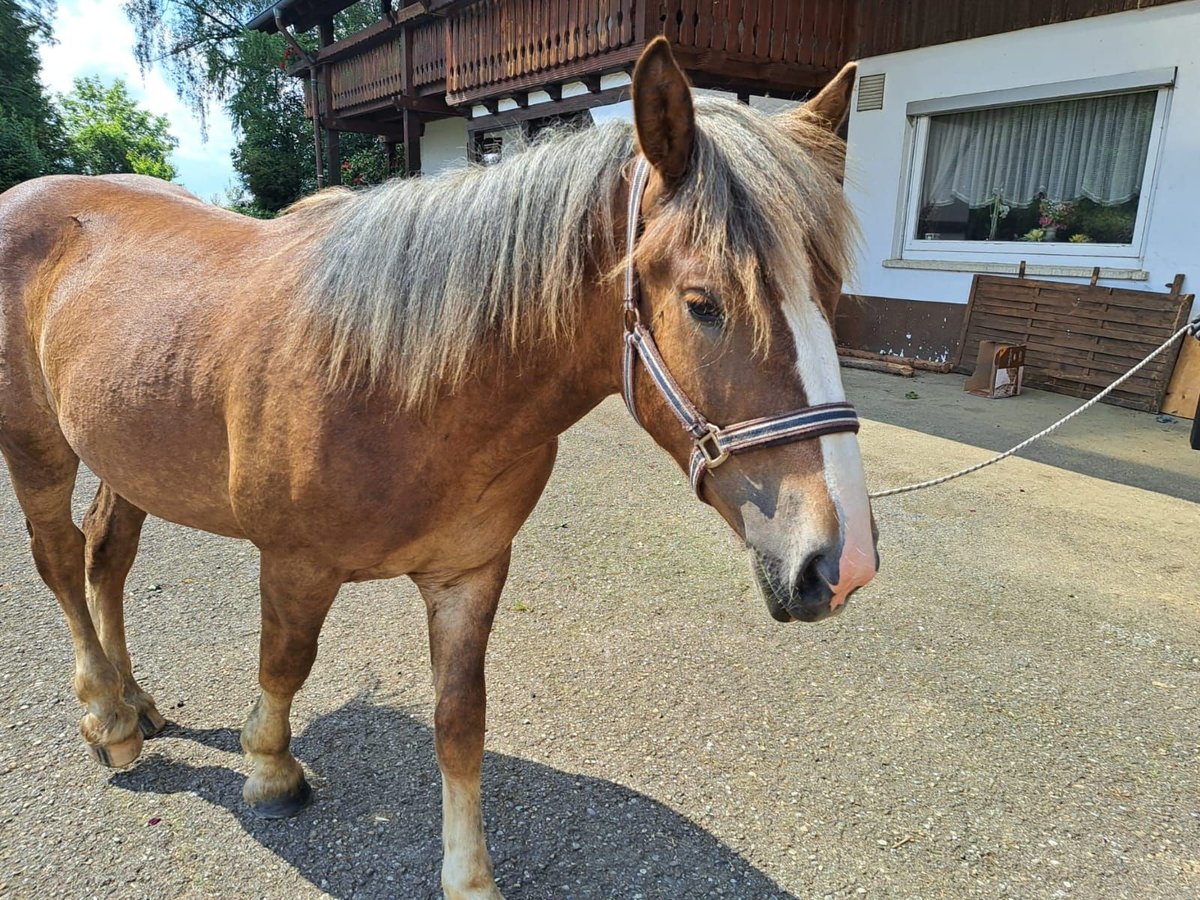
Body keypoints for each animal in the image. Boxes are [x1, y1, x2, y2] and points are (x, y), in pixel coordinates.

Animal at [2, 44, 883, 900]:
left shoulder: (470, 573)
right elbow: (284, 665)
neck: (394, 372)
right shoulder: (294, 564)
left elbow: (461, 724)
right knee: (59, 560)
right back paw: (109, 719)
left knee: (107, 556)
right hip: (39, 448)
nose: (839, 564)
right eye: (704, 303)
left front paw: (469, 876)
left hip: (125, 456)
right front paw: (271, 768)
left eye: (831, 292)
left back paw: (134, 700)